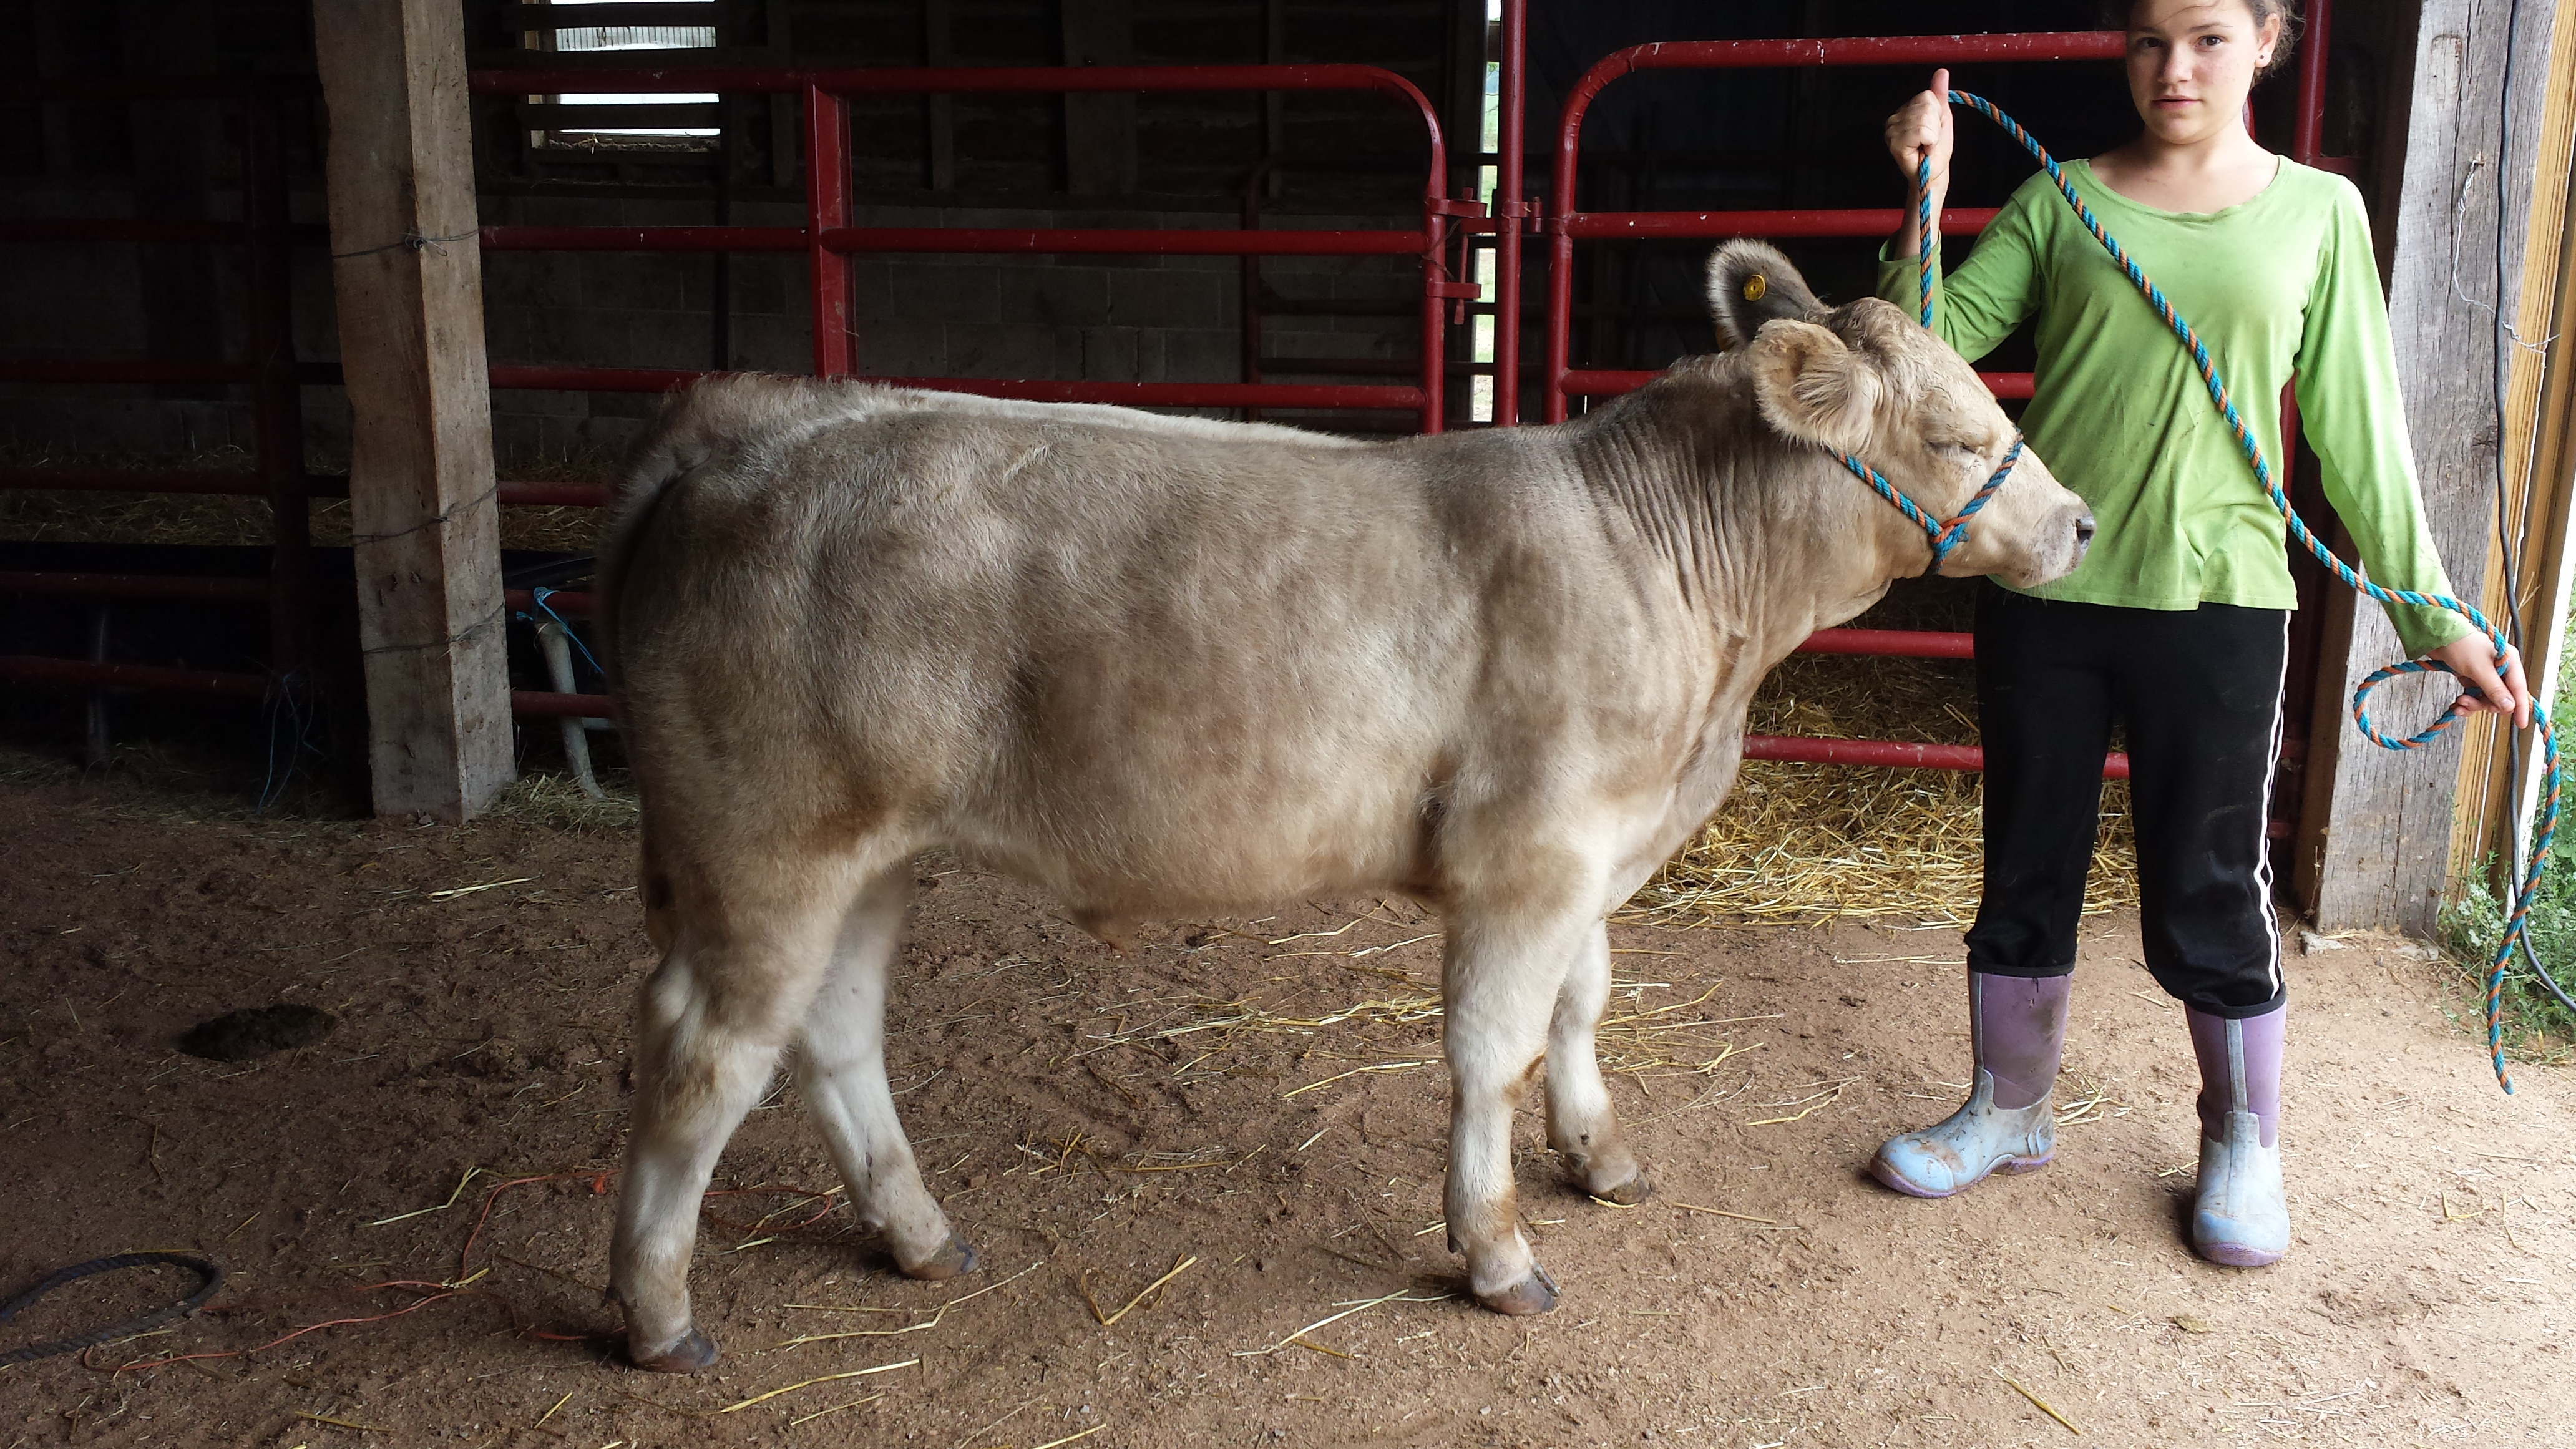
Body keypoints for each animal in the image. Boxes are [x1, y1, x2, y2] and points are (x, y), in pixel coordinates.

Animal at [593, 242, 2093, 1371]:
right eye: (1958, 433)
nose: (2078, 523)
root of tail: (764, 423)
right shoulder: (1528, 858)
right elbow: (1495, 1051)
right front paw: (1495, 1250)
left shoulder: (1593, 854)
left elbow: (1582, 1005)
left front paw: (1598, 1157)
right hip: (766, 851)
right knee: (703, 1054)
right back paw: (657, 1311)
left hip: (866, 857)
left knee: (831, 1035)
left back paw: (915, 1233)